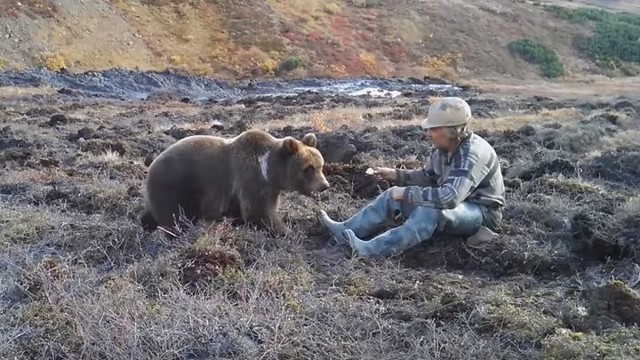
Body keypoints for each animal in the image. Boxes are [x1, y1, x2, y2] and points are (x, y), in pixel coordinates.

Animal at [140, 129, 330, 236]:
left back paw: (147, 223)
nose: (325, 185)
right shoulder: (252, 179)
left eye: (321, 165)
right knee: (174, 217)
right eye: (309, 168)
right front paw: (286, 230)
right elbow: (259, 212)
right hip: (175, 186)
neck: (270, 172)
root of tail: (151, 166)